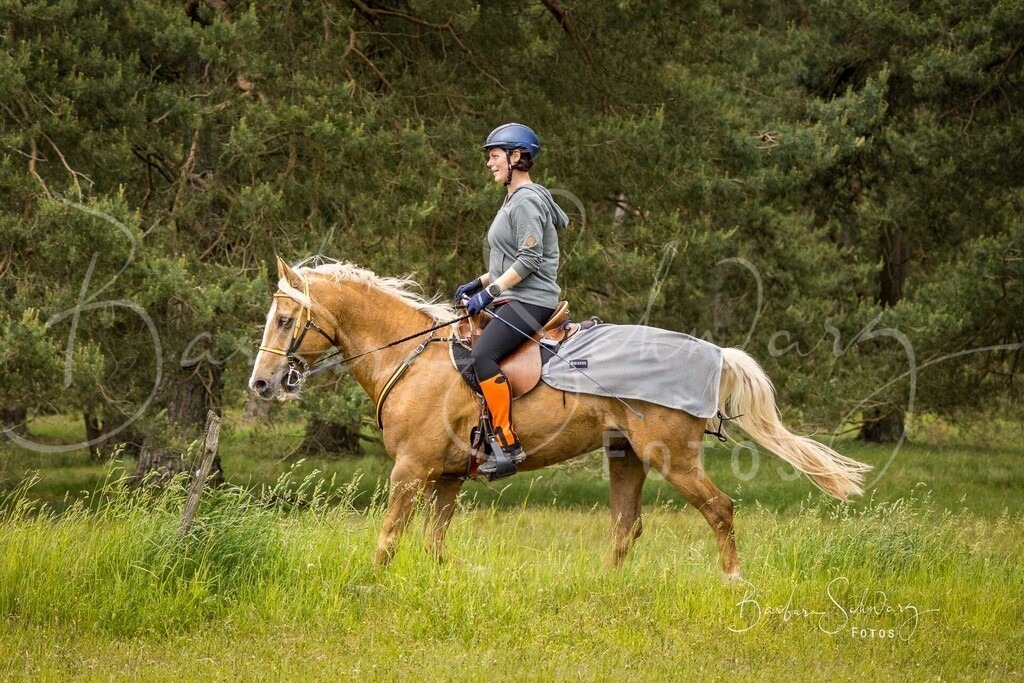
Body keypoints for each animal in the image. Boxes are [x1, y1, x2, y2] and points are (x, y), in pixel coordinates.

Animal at [249, 257, 871, 580]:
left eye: (284, 319)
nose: (261, 383)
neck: (412, 358)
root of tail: (712, 353)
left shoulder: (411, 471)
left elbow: (388, 539)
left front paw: (371, 588)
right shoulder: (446, 478)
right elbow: (434, 544)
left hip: (672, 457)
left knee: (719, 509)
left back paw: (733, 581)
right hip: (625, 456)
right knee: (626, 525)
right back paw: (608, 587)